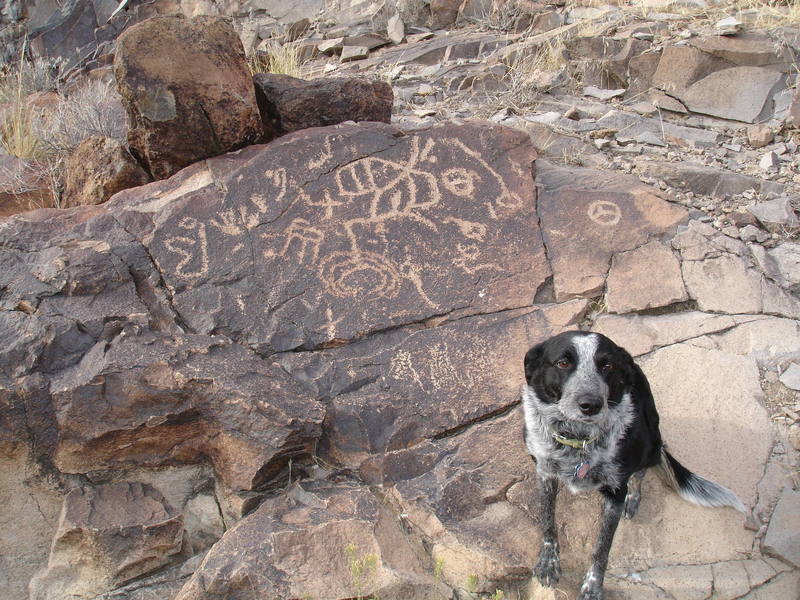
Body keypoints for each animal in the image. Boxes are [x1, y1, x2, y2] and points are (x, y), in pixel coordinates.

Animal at [520, 330, 748, 596]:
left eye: (607, 365)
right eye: (563, 363)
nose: (591, 405)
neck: (579, 442)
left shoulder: (615, 493)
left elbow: (602, 548)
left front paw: (593, 586)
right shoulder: (544, 472)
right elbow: (548, 519)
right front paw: (548, 562)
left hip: (651, 441)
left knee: (643, 469)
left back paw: (634, 496)